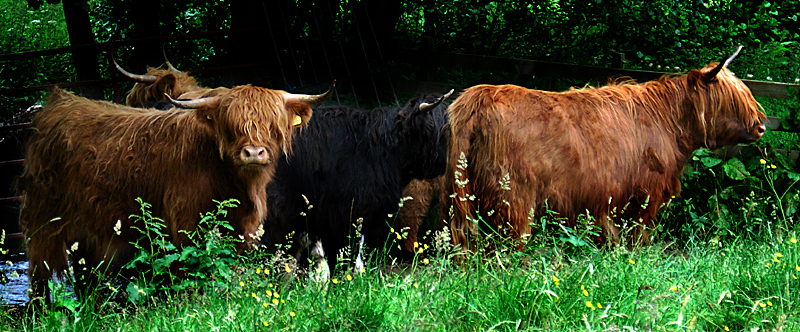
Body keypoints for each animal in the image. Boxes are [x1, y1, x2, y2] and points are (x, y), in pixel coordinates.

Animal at [18, 83, 332, 304]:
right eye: (230, 125)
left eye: (272, 125)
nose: (253, 152)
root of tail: (61, 103)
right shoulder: (185, 228)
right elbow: (189, 274)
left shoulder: (241, 231)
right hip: (43, 219)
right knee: (39, 274)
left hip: (91, 231)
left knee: (86, 278)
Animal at [446, 46, 764, 249]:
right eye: (732, 99)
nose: (761, 125)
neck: (669, 121)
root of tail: (477, 97)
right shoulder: (644, 194)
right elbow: (637, 236)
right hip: (514, 198)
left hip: (465, 195)